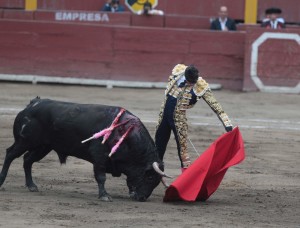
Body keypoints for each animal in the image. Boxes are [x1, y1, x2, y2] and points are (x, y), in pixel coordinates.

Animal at [0, 97, 168, 201]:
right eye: (150, 177)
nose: (142, 198)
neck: (125, 133)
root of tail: (31, 105)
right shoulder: (99, 156)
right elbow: (101, 177)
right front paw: (104, 196)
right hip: (24, 141)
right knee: (10, 155)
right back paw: (2, 182)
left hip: (43, 147)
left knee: (27, 160)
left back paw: (32, 186)